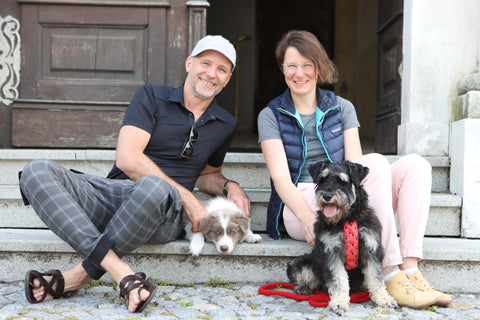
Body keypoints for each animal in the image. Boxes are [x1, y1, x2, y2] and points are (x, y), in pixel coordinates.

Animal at [286, 161, 396, 314]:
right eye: (322, 179)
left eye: (343, 181)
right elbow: (338, 279)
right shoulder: (332, 252)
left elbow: (375, 277)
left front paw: (383, 299)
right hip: (303, 264)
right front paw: (339, 302)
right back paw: (302, 288)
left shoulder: (371, 248)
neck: (347, 219)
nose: (327, 196)